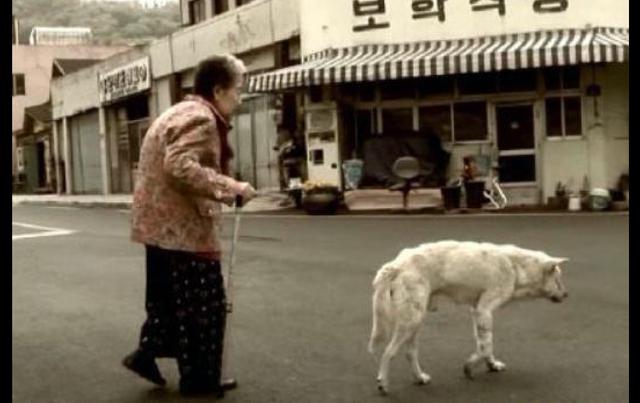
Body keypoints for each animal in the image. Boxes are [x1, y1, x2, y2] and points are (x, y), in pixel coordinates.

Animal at [368, 241, 568, 396]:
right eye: (558, 280)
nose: (567, 295)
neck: (516, 267)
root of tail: (396, 264)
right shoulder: (484, 310)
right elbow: (486, 347)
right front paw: (470, 367)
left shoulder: (477, 311)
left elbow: (484, 344)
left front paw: (492, 365)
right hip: (411, 322)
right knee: (388, 352)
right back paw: (383, 383)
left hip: (415, 322)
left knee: (410, 353)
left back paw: (419, 377)